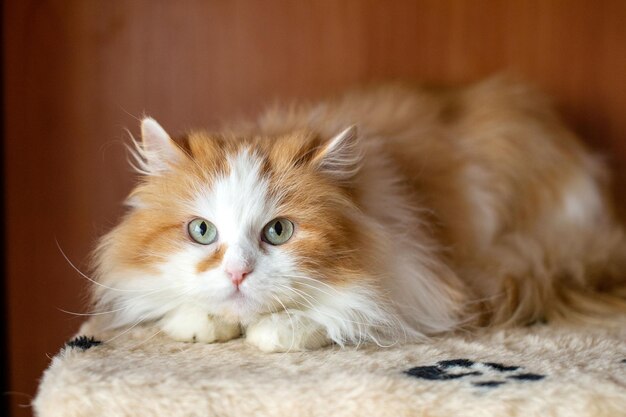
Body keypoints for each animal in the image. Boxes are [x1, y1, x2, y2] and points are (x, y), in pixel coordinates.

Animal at [91, 77, 624, 352]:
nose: (238, 273)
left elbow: (346, 310)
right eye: (201, 231)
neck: (371, 202)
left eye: (278, 231)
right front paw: (200, 320)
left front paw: (276, 330)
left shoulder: (421, 279)